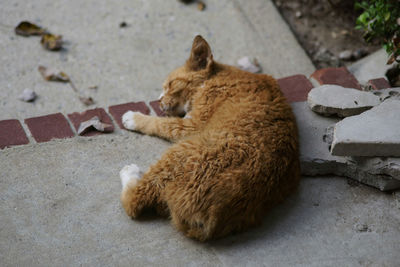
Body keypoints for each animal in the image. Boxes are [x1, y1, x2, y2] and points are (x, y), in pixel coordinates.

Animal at [119, 34, 300, 242]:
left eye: (170, 84)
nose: (158, 100)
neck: (216, 77)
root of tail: (211, 220)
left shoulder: (192, 125)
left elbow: (160, 123)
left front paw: (134, 118)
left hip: (180, 150)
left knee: (133, 202)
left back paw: (129, 172)